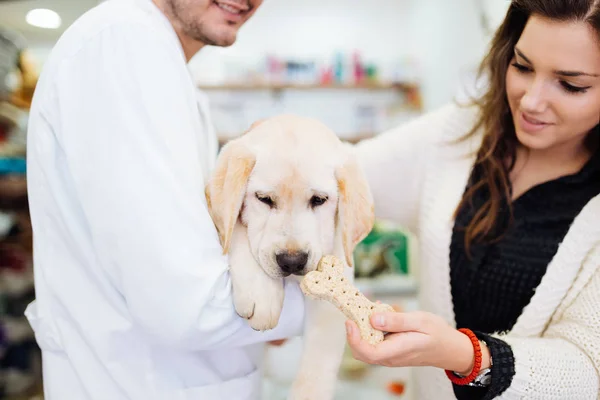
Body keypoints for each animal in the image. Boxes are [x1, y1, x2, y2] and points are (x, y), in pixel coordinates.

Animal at [206, 114, 376, 398]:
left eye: (319, 200)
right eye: (264, 199)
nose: (292, 261)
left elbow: (316, 368)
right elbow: (238, 228)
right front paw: (262, 294)